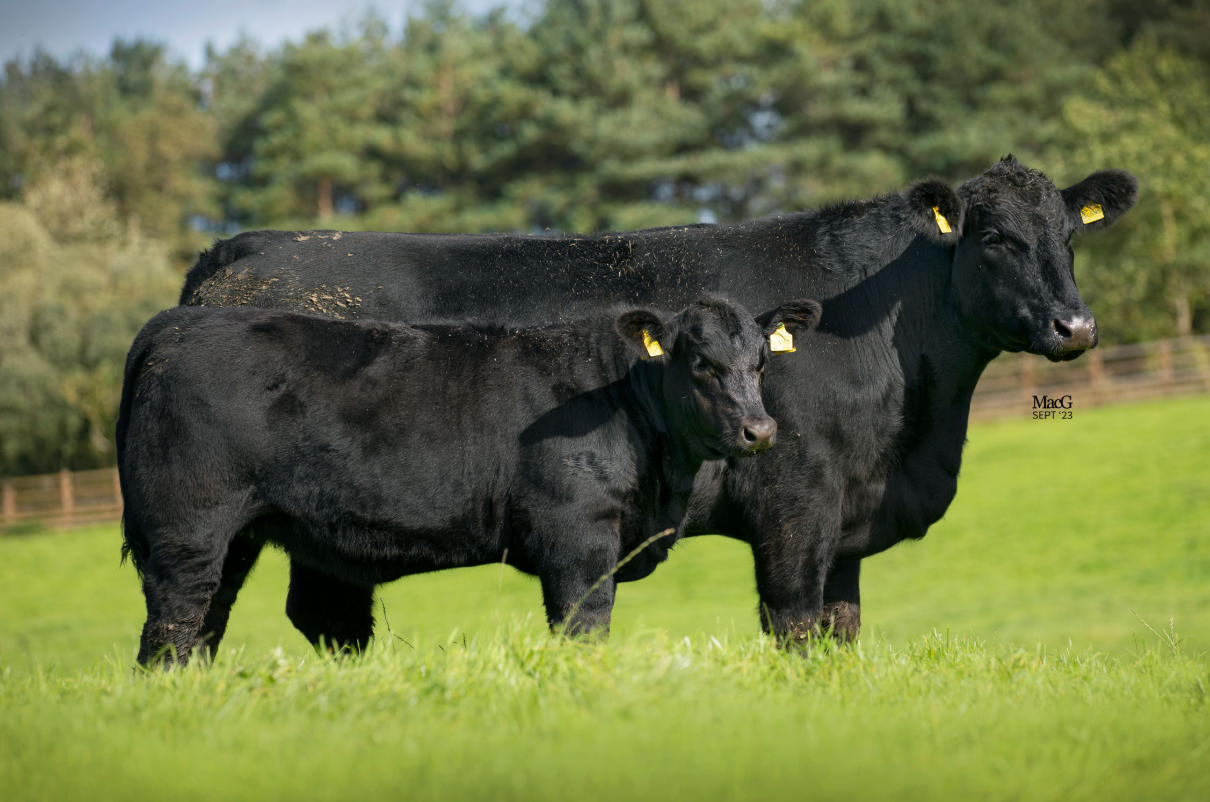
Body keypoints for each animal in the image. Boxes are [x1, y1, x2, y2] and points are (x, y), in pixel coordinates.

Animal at [117, 297, 822, 664]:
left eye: (761, 363)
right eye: (700, 364)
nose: (760, 430)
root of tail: (181, 321)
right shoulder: (578, 536)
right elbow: (584, 623)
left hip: (234, 535)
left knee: (209, 617)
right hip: (189, 528)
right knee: (175, 617)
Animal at [178, 156, 1139, 645]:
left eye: (1068, 235)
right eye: (997, 238)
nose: (1076, 326)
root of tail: (240, 250)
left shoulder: (849, 520)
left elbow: (842, 627)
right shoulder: (797, 502)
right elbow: (795, 623)